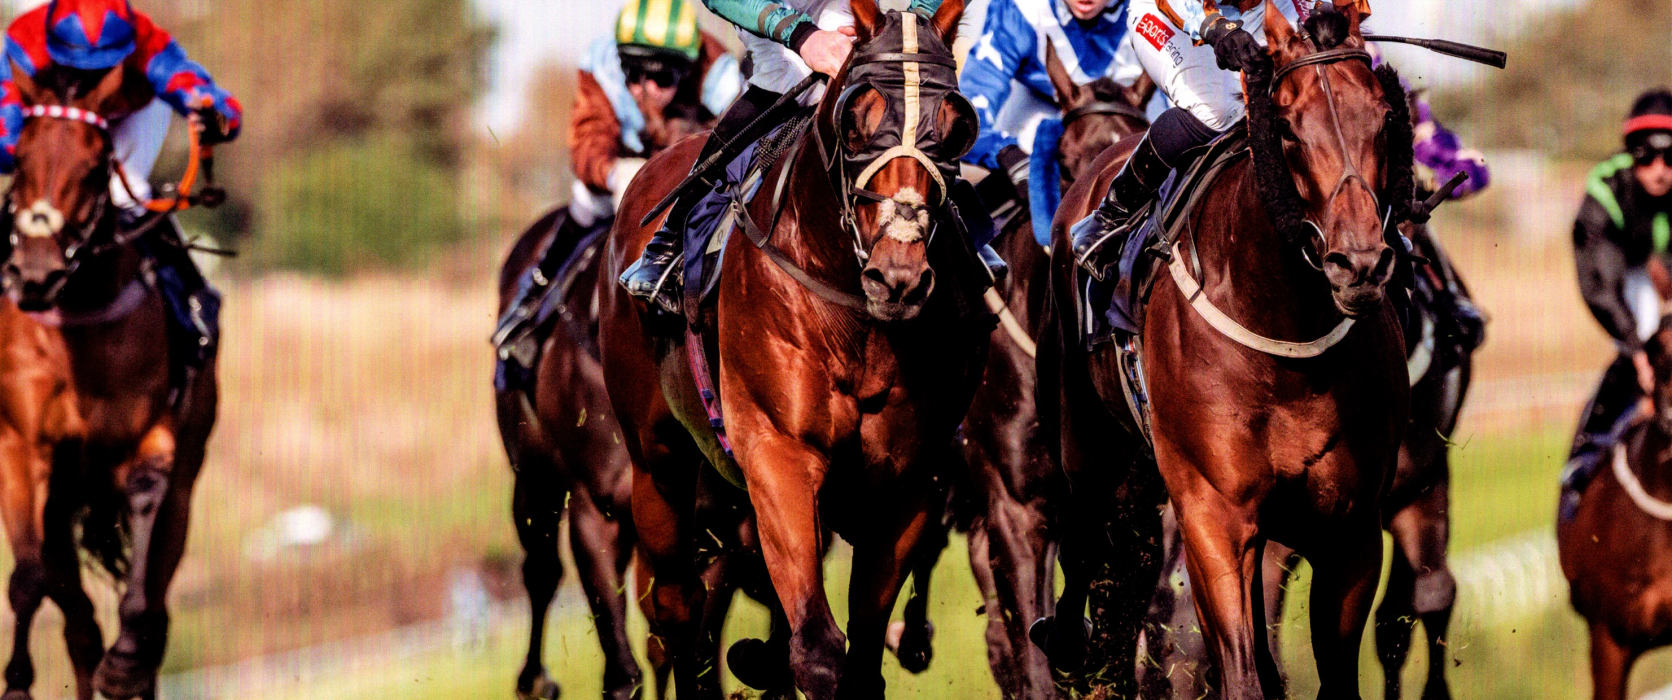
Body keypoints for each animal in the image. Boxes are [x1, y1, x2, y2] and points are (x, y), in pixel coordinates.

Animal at [0, 62, 220, 700]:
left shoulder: (149, 433)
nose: (36, 275)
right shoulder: (21, 445)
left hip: (185, 476)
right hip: (62, 500)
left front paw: (124, 664)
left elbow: (147, 498)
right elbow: (28, 578)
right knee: (74, 616)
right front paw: (17, 683)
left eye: (95, 166)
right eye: (20, 156)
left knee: (156, 604)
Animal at [598, 1, 990, 696]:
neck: (856, 316)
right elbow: (818, 652)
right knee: (679, 608)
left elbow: (858, 659)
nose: (898, 276)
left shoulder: (906, 482)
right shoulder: (778, 449)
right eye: (855, 120)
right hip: (657, 461)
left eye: (955, 128)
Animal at [1038, 6, 1412, 698]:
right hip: (1083, 434)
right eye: (1286, 127)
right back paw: (1069, 644)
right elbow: (1239, 673)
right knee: (1081, 532)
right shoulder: (1212, 515)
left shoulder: (1349, 530)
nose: (1359, 265)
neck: (1288, 342)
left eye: (1383, 117)